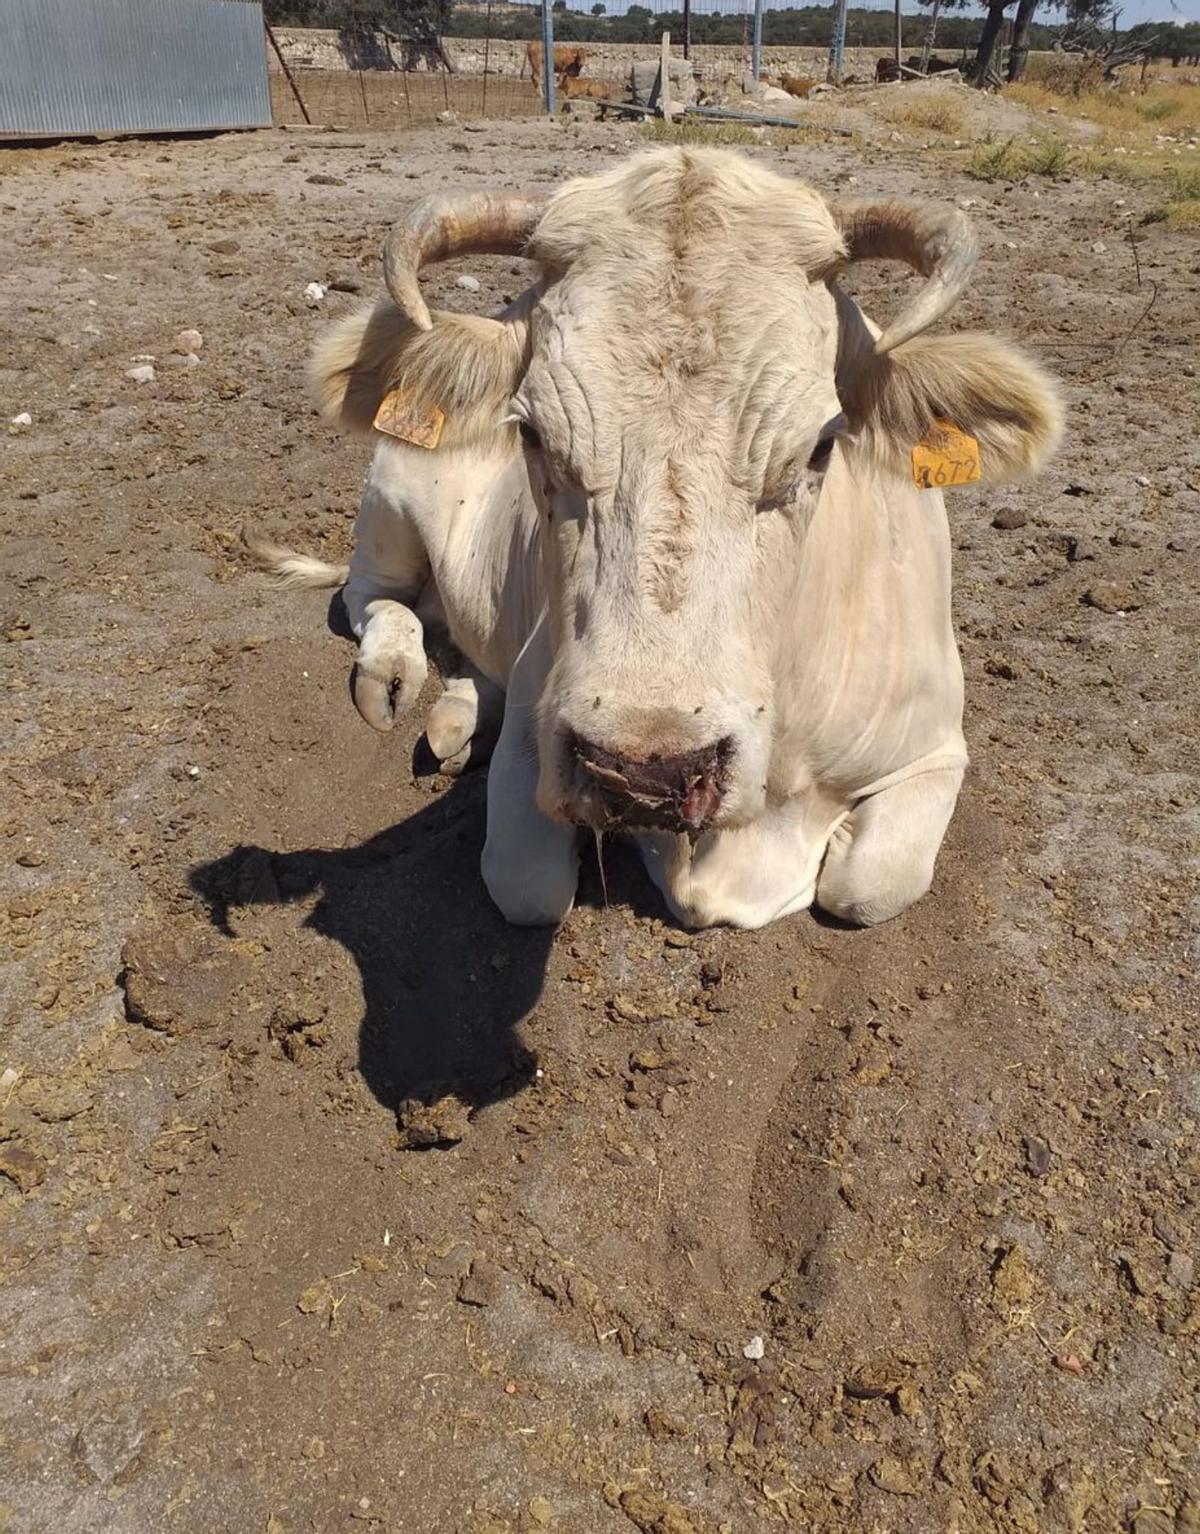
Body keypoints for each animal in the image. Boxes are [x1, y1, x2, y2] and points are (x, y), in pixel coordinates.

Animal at [253, 149, 1061, 926]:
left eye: (821, 446)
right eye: (532, 433)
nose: (648, 770)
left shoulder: (934, 751)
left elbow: (868, 886)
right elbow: (526, 884)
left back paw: (460, 715)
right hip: (387, 502)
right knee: (373, 599)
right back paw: (392, 675)